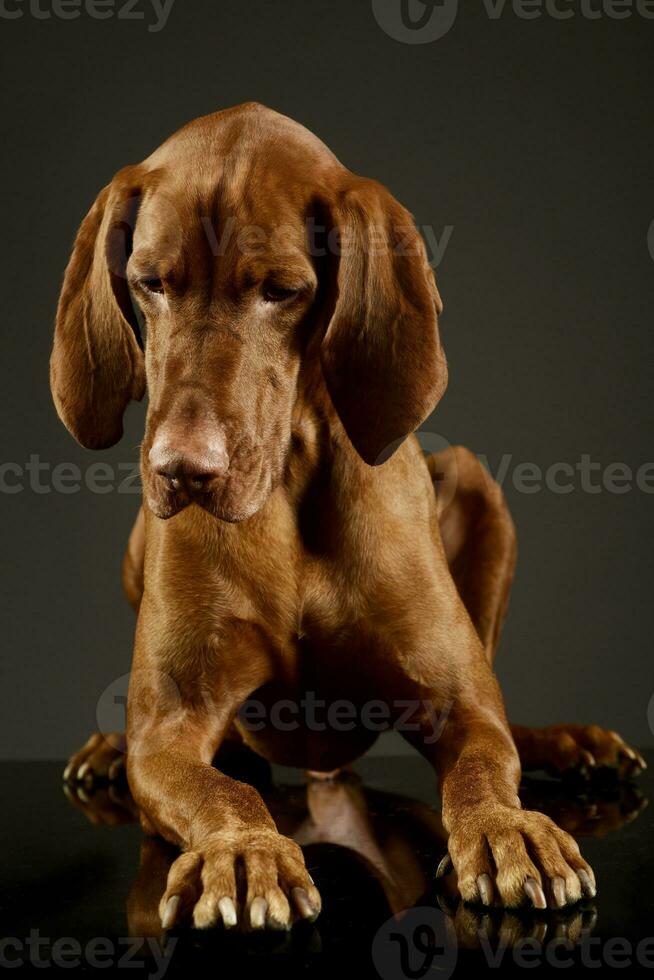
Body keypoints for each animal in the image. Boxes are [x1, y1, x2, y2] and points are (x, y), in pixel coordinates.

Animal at [52, 103, 644, 932]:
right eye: (149, 284)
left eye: (280, 290)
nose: (183, 470)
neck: (287, 491)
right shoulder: (171, 730)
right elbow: (220, 788)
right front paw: (243, 850)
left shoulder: (460, 705)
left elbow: (484, 767)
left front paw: (508, 830)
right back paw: (109, 746)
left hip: (476, 481)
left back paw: (568, 743)